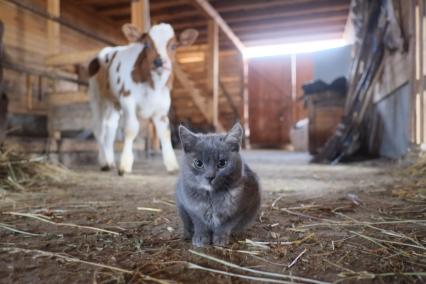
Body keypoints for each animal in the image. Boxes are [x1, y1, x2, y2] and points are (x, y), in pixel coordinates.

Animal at [89, 23, 199, 174]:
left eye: (174, 46)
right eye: (147, 44)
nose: (159, 62)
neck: (153, 85)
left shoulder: (162, 106)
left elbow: (164, 132)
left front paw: (172, 164)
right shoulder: (127, 99)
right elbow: (131, 128)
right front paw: (125, 164)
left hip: (113, 103)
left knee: (111, 127)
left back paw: (110, 161)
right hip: (97, 97)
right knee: (99, 129)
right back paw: (104, 162)